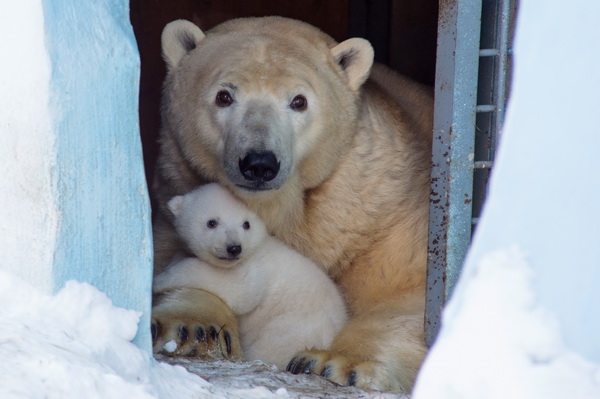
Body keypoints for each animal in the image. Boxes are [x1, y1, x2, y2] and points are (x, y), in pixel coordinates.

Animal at [152, 184, 346, 368]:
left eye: (246, 224)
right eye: (212, 222)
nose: (234, 248)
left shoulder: (256, 268)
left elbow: (238, 291)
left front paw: (160, 279)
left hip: (295, 326)